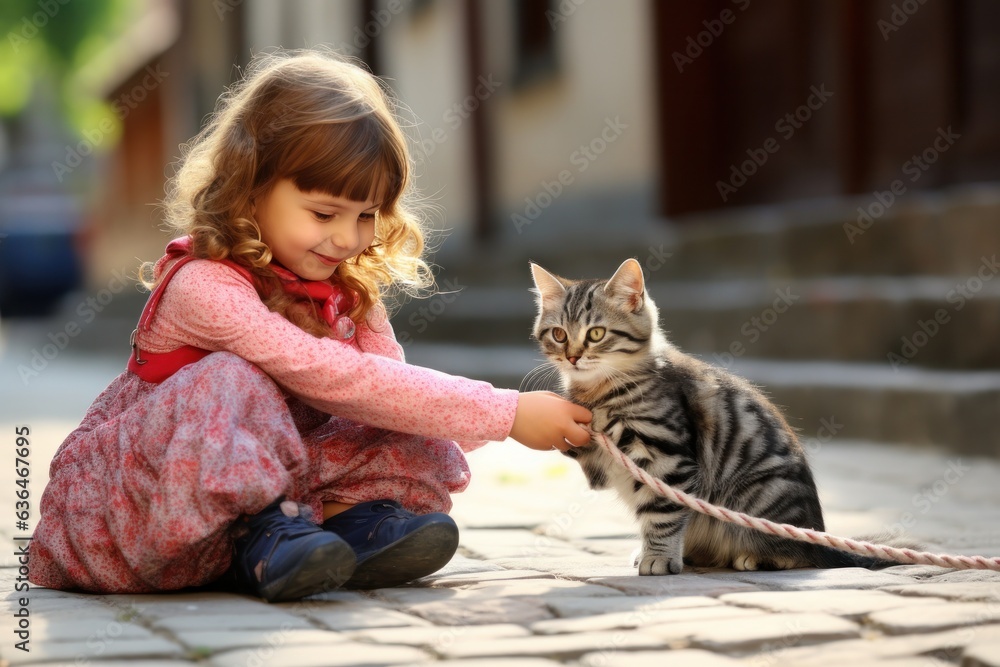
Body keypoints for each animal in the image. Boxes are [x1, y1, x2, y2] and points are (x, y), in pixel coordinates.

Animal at [532, 258, 892, 576]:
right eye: (559, 335)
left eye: (596, 334)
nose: (572, 357)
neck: (600, 392)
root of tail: (819, 536)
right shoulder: (608, 464)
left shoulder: (666, 459)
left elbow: (662, 516)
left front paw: (658, 557)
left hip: (759, 497)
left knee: (795, 552)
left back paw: (756, 558)